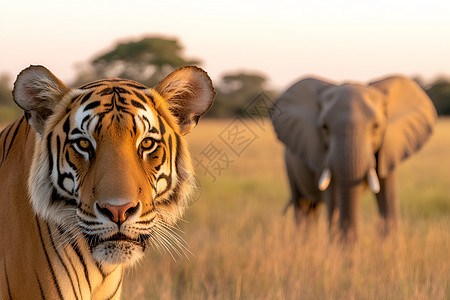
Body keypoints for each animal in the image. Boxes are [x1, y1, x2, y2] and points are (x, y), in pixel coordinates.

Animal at [270, 75, 436, 241]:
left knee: (311, 209)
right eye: (324, 127)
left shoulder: (388, 149)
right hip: (288, 166)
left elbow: (388, 201)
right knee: (302, 206)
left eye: (376, 126)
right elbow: (335, 202)